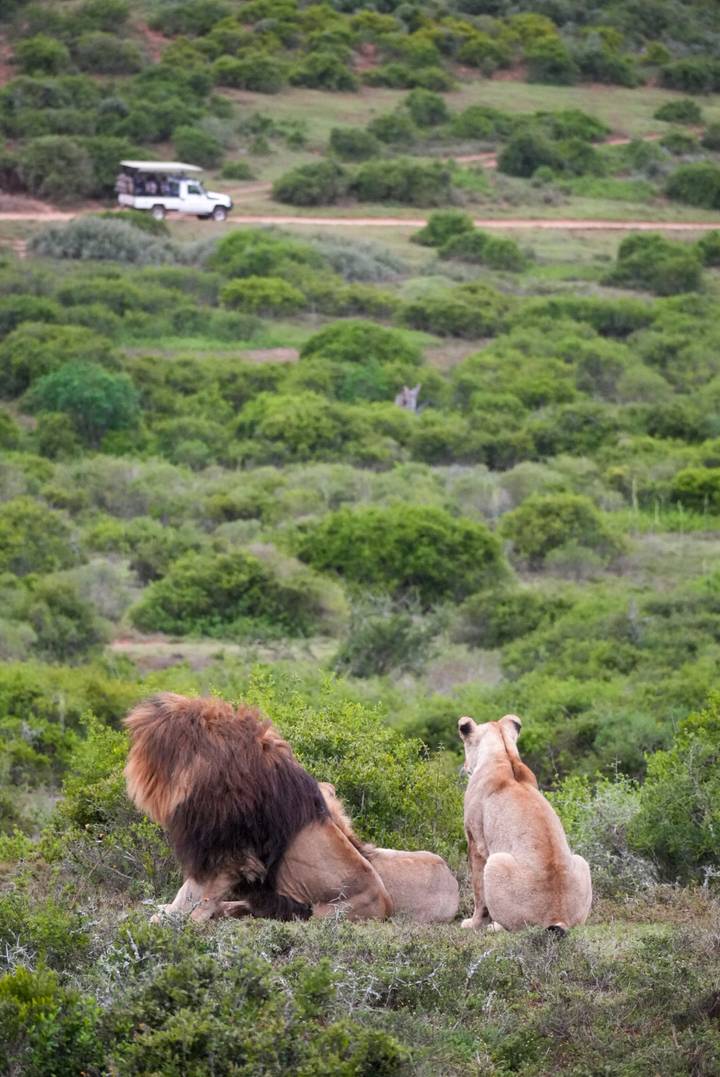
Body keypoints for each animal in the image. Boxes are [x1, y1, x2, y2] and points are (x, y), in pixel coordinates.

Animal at [458, 714, 592, 934]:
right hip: (582, 861)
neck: (504, 755)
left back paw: (494, 926)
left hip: (496, 861)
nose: (464, 767)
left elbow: (478, 891)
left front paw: (473, 923)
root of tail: (558, 916)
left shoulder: (475, 841)